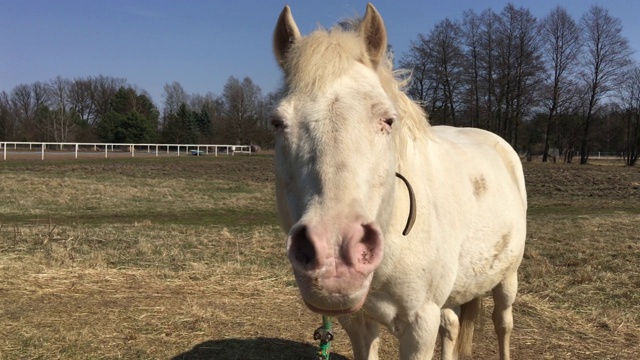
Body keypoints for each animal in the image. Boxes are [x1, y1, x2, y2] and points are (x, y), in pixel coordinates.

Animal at [272, 3, 528, 360]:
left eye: (388, 120)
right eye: (277, 123)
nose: (334, 255)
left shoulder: (420, 323)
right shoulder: (359, 322)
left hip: (507, 277)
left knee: (503, 323)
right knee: (452, 324)